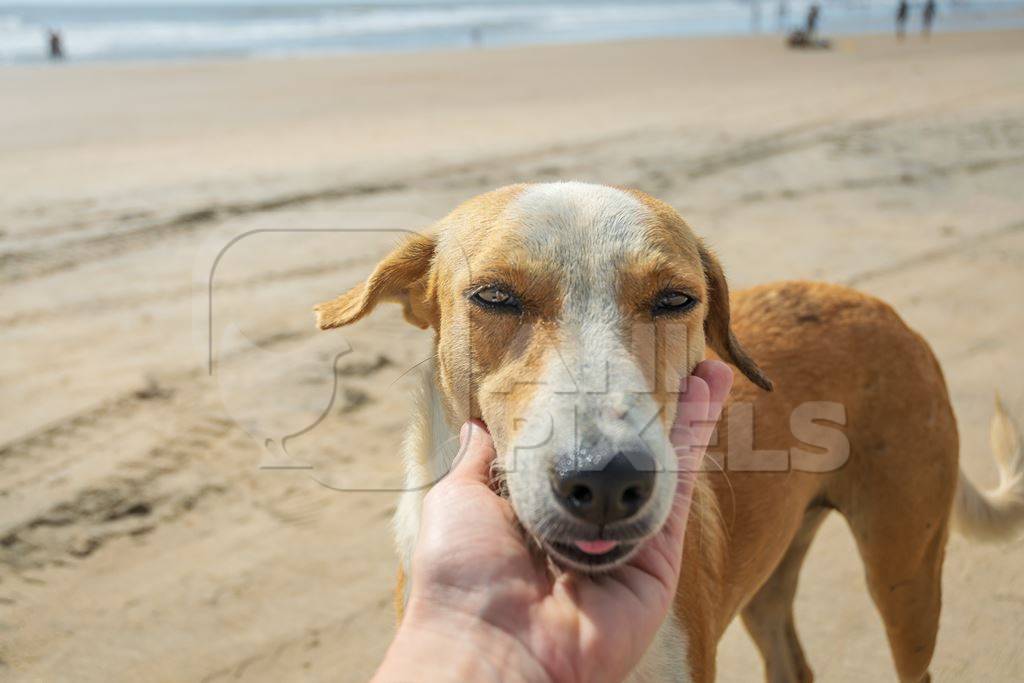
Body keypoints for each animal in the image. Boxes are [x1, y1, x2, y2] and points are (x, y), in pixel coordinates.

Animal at [313, 183, 1024, 683]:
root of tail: (882, 308)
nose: (606, 481)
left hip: (905, 574)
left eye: (676, 300)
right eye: (493, 296)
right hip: (771, 578)